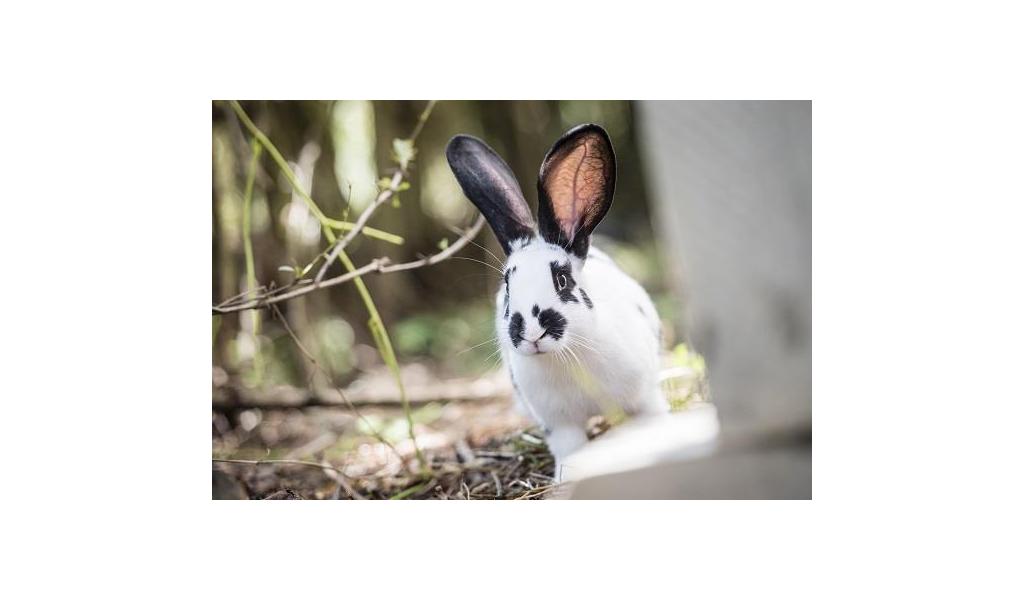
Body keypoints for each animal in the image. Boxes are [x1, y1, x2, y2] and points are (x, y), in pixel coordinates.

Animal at [446, 123, 669, 480]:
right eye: (507, 285)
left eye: (562, 280)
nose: (531, 333)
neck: (569, 357)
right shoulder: (559, 424)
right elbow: (570, 450)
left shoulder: (645, 398)